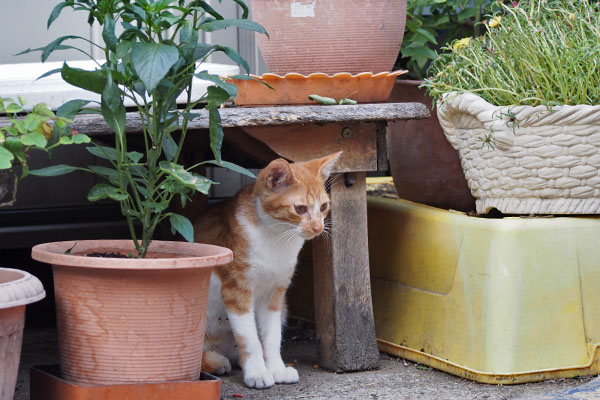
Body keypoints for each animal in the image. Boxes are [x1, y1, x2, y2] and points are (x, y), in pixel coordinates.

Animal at [195, 152, 340, 390]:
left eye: (324, 206)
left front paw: (276, 369)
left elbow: (272, 336)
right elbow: (250, 339)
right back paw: (217, 361)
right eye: (300, 209)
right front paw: (257, 373)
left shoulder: (276, 294)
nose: (318, 228)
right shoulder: (236, 291)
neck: (276, 238)